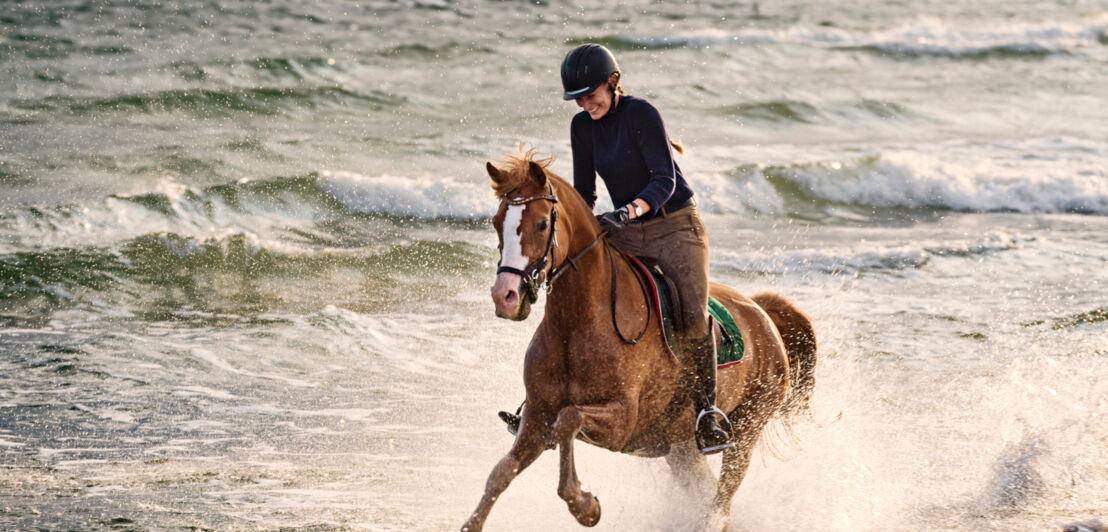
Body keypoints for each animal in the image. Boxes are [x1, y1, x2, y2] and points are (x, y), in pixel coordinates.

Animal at [463, 150, 819, 532]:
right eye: (497, 222)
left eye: (542, 224)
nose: (506, 297)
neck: (577, 324)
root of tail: (763, 315)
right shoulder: (536, 418)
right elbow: (502, 472)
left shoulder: (621, 421)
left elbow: (569, 420)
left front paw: (585, 505)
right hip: (681, 449)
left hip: (746, 431)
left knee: (720, 504)